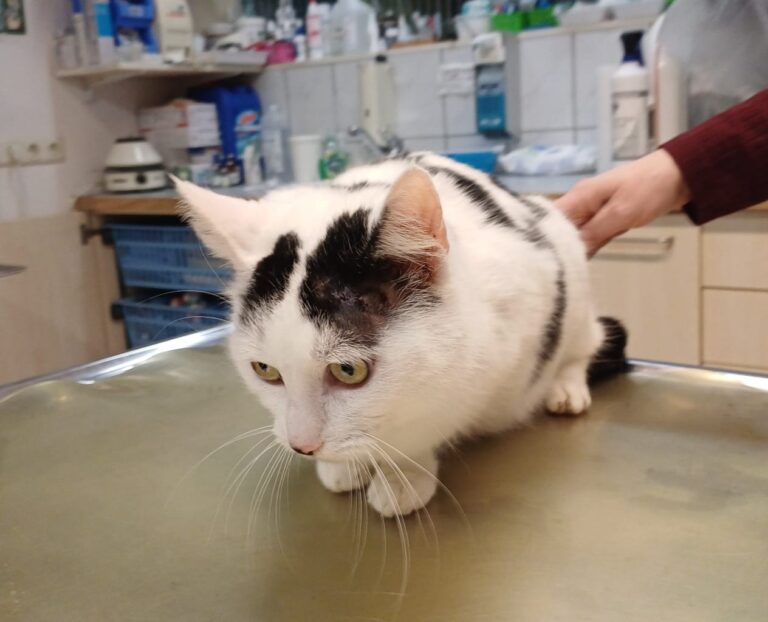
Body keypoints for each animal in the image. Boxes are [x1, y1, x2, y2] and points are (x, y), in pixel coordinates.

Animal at [175, 152, 625, 518]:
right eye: (265, 370)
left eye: (349, 371)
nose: (302, 446)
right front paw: (344, 466)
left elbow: (431, 419)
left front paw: (403, 474)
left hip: (572, 274)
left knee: (584, 344)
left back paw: (565, 388)